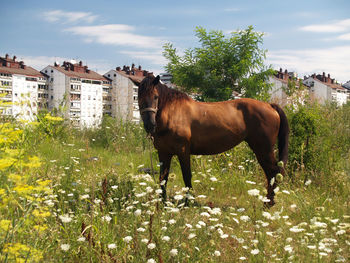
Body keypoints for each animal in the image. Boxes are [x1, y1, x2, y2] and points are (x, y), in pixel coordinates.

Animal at [138, 75, 288, 208]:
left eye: (156, 97)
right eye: (139, 98)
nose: (150, 125)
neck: (173, 113)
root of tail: (270, 106)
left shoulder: (183, 151)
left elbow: (186, 176)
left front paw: (188, 202)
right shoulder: (163, 153)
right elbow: (163, 178)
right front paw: (162, 203)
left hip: (263, 149)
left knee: (273, 172)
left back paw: (268, 204)